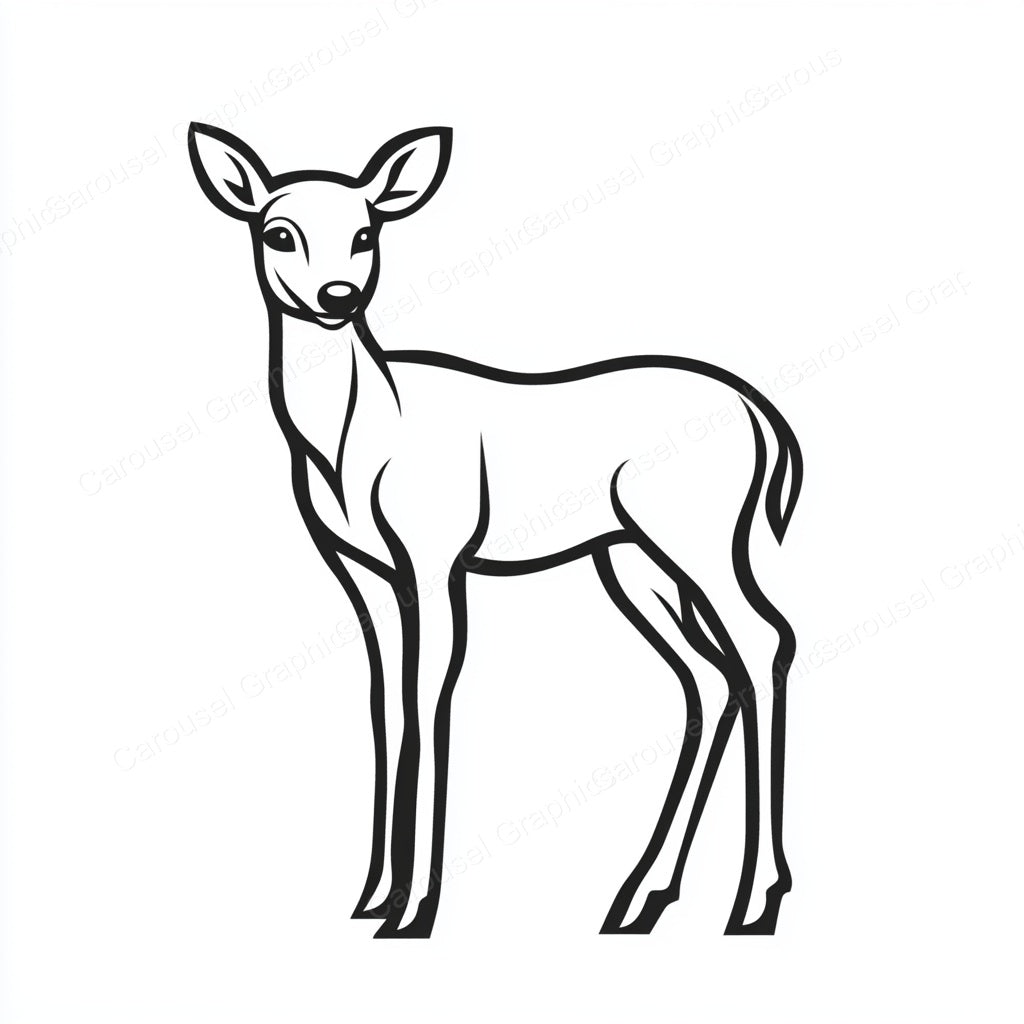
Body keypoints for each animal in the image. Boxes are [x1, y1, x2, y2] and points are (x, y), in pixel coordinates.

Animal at [188, 122, 804, 939]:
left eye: (366, 231)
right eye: (277, 231)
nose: (337, 296)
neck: (358, 440)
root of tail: (761, 416)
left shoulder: (435, 554)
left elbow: (430, 695)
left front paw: (414, 910)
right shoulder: (361, 569)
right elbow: (386, 704)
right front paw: (372, 898)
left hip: (701, 538)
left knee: (764, 643)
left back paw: (754, 902)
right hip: (632, 558)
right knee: (709, 673)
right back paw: (639, 898)